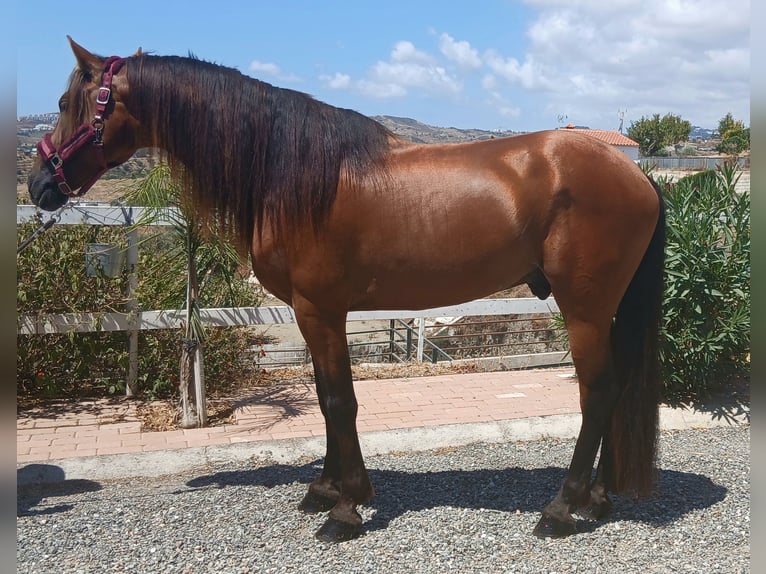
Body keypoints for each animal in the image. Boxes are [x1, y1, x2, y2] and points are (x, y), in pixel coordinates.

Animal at [28, 37, 665, 544]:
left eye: (64, 104)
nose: (38, 185)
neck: (291, 171)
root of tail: (635, 173)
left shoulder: (320, 309)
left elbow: (339, 401)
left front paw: (346, 507)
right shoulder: (313, 313)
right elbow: (323, 396)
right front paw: (326, 489)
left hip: (583, 309)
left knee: (597, 393)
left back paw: (561, 507)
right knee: (611, 392)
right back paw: (597, 500)